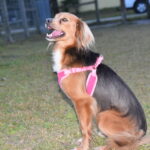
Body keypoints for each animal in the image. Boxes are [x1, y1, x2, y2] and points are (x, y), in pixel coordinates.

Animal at [44, 12, 148, 150]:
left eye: (64, 19)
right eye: (55, 16)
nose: (47, 20)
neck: (69, 51)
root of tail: (142, 132)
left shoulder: (82, 102)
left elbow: (84, 128)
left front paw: (84, 146)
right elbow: (86, 126)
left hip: (103, 116)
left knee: (125, 143)